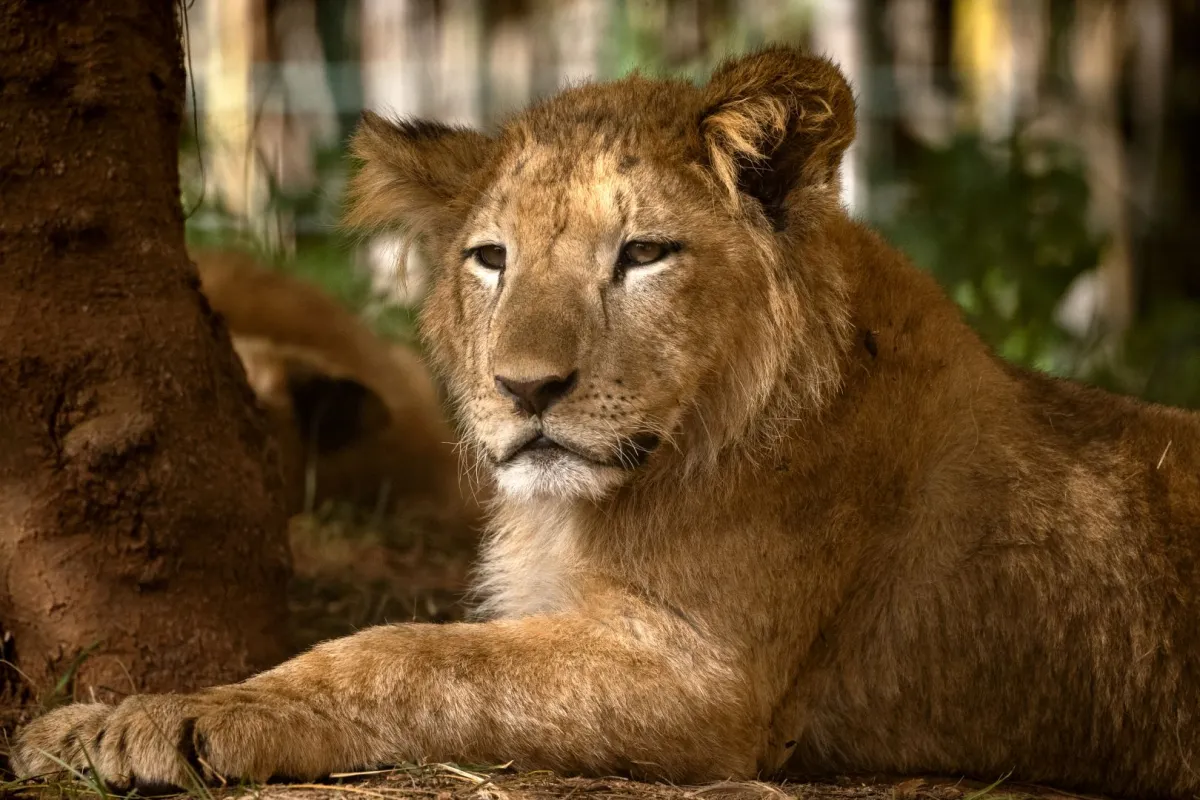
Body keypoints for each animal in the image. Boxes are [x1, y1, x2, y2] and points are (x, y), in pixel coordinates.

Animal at [14, 47, 1200, 798]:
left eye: (643, 255)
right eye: (489, 258)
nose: (524, 388)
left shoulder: (704, 678)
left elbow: (410, 656)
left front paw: (166, 718)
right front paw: (89, 719)